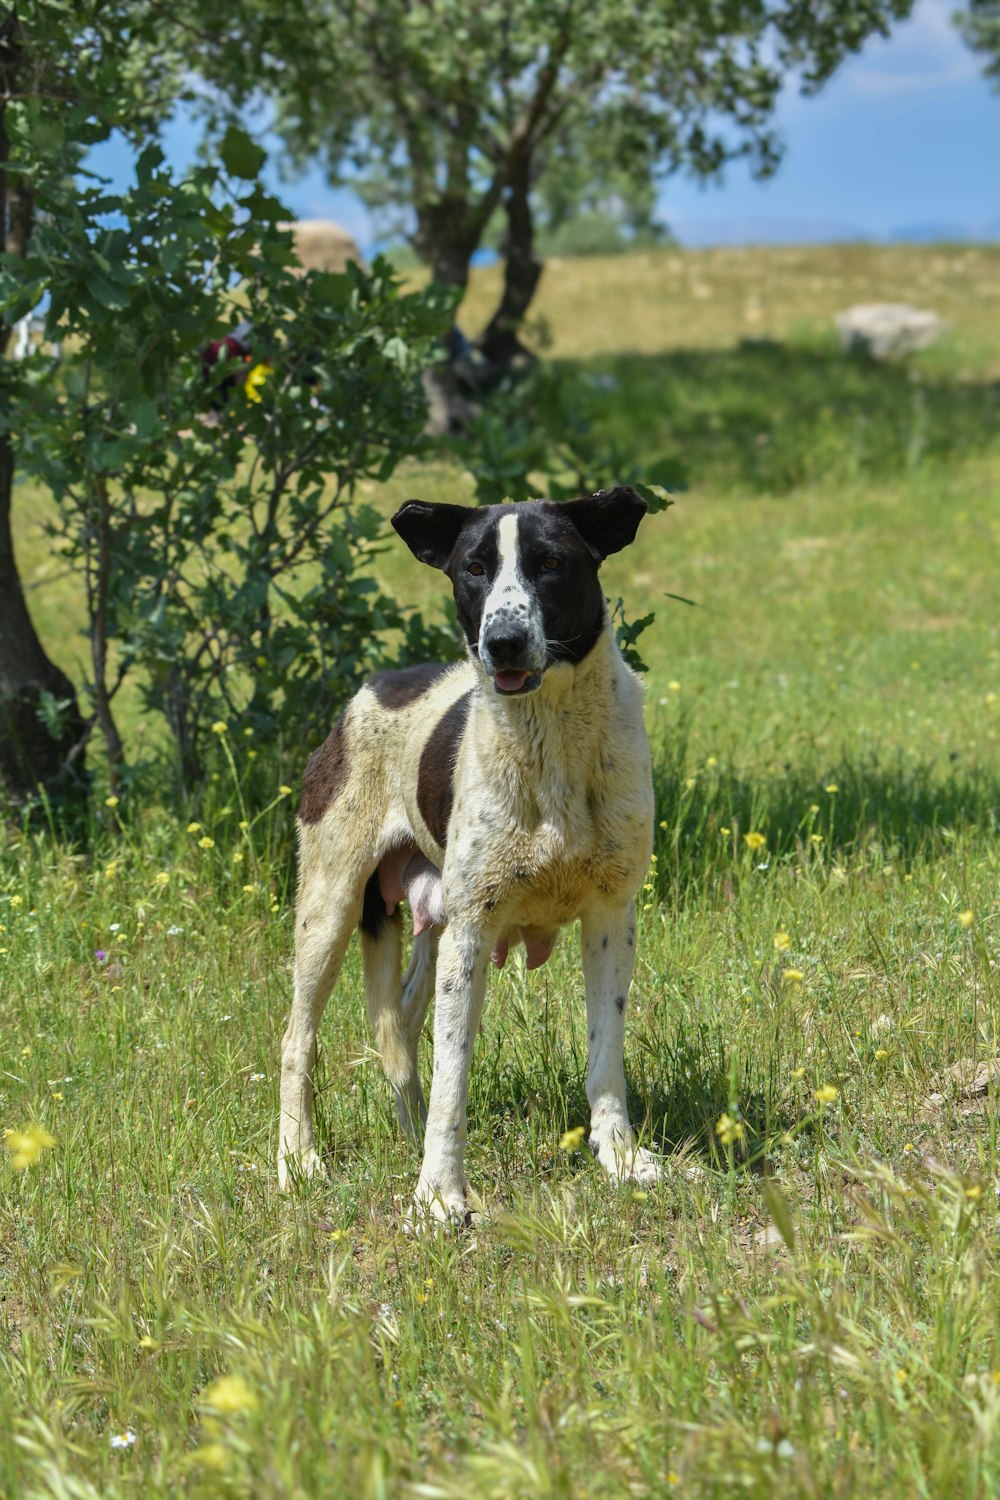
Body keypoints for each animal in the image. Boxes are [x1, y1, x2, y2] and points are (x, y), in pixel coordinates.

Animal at [277, 489, 659, 1218]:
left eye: (551, 562)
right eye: (473, 569)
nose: (502, 641)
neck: (549, 739)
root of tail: (363, 694)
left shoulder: (610, 917)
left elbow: (606, 1054)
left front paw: (620, 1157)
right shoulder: (474, 930)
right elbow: (454, 1072)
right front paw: (439, 1194)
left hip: (430, 930)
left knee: (398, 1032)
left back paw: (403, 1132)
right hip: (331, 908)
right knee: (296, 1038)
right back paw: (296, 1160)